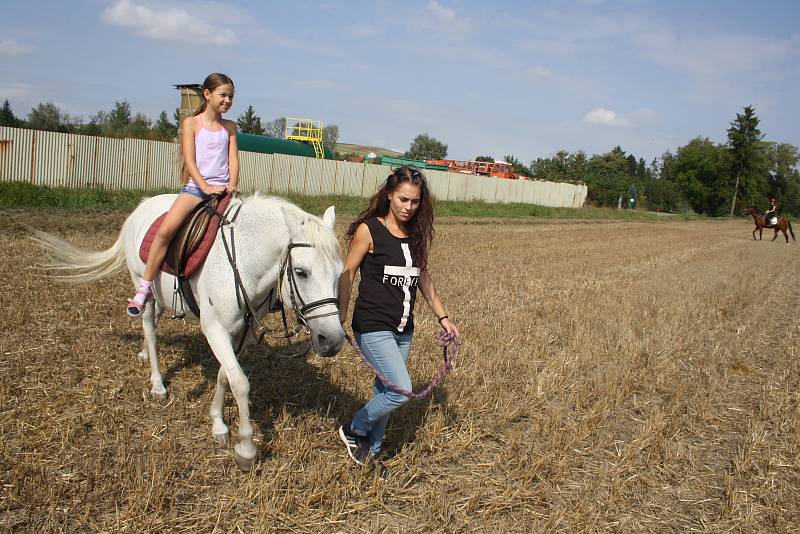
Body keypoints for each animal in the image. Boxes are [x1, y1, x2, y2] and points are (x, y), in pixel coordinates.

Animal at [32, 195, 346, 472]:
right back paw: (157, 383)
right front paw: (246, 449)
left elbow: (225, 375)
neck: (243, 261)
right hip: (144, 288)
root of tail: (142, 207)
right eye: (301, 272)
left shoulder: (238, 331)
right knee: (149, 327)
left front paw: (218, 423)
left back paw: (143, 354)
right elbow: (240, 382)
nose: (332, 341)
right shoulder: (215, 329)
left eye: (339, 273)